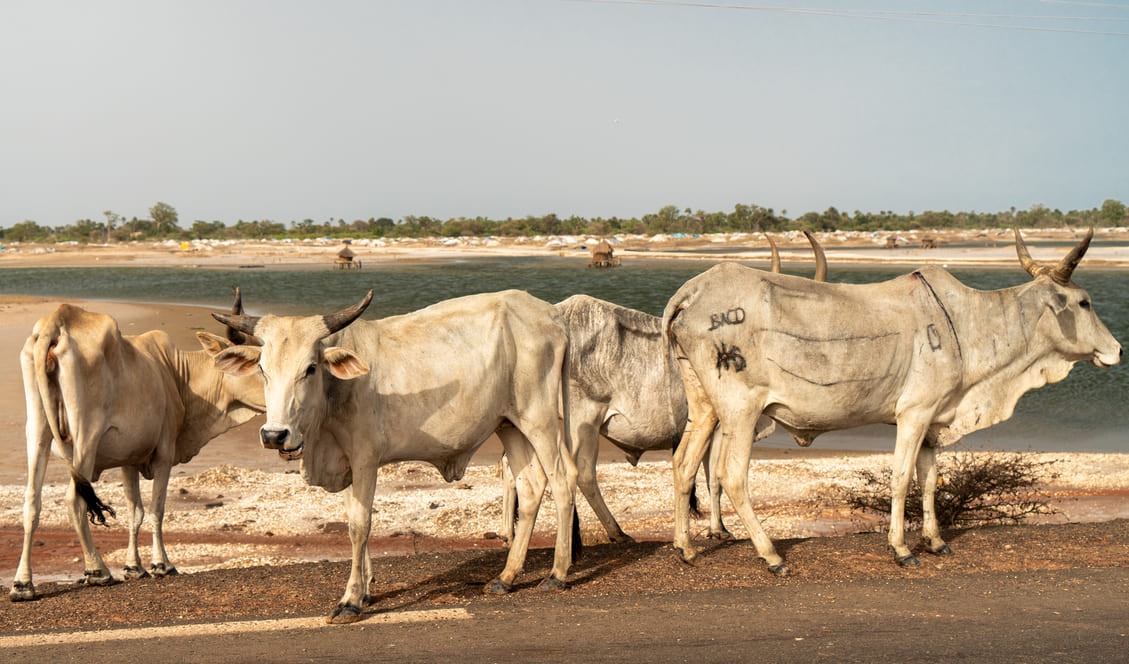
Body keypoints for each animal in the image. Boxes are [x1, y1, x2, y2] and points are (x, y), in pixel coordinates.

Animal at [12, 291, 266, 600]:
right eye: (260, 366)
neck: (175, 373)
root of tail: (56, 322)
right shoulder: (164, 453)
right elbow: (157, 510)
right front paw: (161, 564)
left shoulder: (129, 460)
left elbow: (136, 513)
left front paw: (134, 567)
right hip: (86, 435)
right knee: (75, 500)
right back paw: (97, 570)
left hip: (38, 431)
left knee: (31, 502)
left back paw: (23, 583)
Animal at [213, 289, 582, 623]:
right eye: (262, 369)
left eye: (310, 368)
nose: (274, 435)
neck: (333, 397)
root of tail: (552, 315)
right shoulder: (345, 464)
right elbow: (352, 518)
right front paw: (366, 589)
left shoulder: (365, 459)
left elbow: (359, 525)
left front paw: (351, 600)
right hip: (509, 424)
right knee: (531, 487)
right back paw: (506, 577)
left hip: (540, 419)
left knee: (563, 479)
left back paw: (557, 573)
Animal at [659, 225, 1119, 573]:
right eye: (1084, 302)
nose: (1116, 350)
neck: (966, 324)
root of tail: (691, 292)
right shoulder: (913, 414)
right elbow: (900, 479)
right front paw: (901, 549)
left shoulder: (934, 420)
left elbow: (929, 481)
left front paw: (935, 541)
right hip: (741, 410)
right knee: (730, 475)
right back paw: (770, 555)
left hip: (705, 408)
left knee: (683, 464)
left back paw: (686, 548)